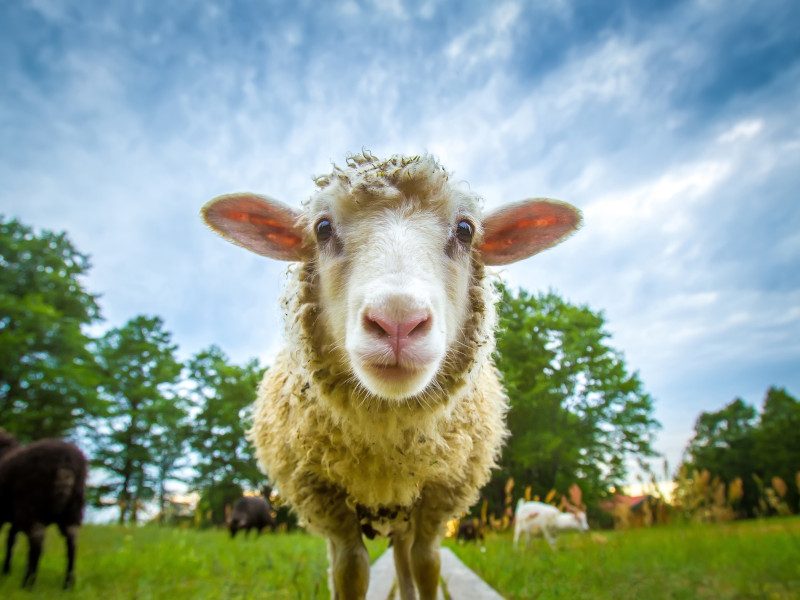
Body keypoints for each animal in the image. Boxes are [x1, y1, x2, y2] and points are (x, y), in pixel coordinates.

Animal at [0, 432, 88, 592]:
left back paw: (28, 583)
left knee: (37, 538)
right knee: (72, 539)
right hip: (73, 509)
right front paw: (6, 571)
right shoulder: (15, 519)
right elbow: (11, 540)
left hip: (30, 505)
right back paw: (68, 584)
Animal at [200, 154, 580, 600]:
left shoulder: (438, 497)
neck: (386, 445)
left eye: (466, 230)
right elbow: (350, 572)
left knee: (405, 560)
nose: (398, 320)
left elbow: (426, 565)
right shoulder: (328, 502)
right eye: (322, 227)